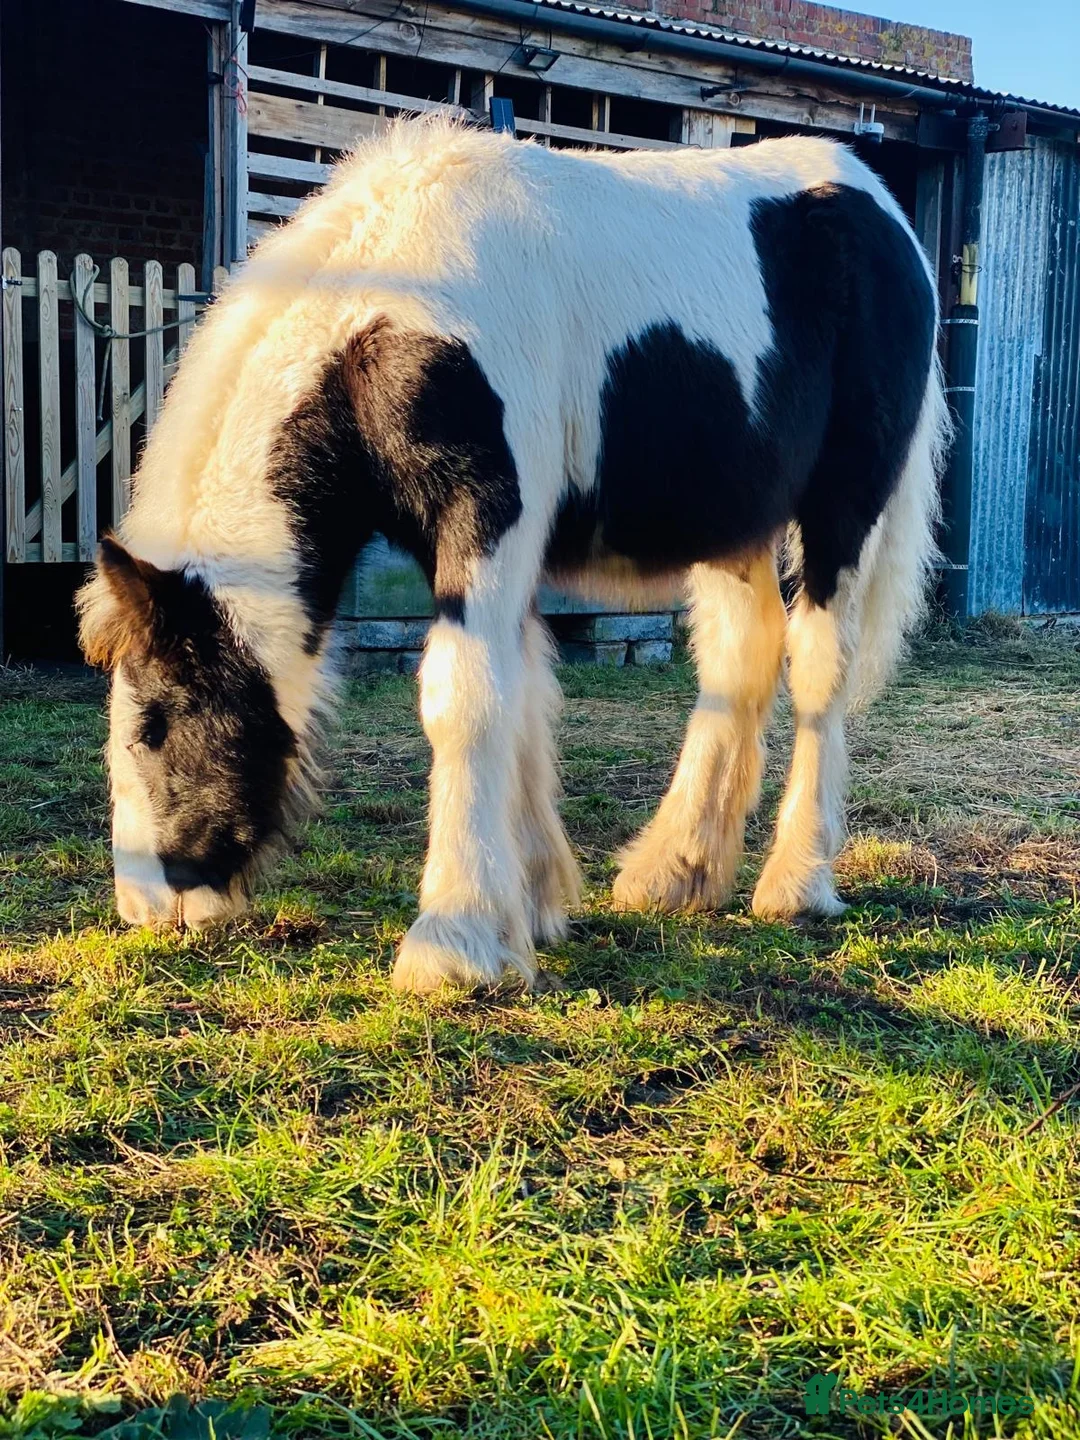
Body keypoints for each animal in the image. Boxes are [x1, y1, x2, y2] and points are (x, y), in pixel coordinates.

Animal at [78, 116, 948, 994]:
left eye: (154, 724)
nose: (147, 906)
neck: (387, 315)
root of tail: (882, 207)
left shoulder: (489, 518)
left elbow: (461, 697)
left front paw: (452, 938)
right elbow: (521, 695)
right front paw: (527, 908)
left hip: (844, 508)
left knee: (819, 666)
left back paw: (797, 884)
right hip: (733, 521)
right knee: (741, 658)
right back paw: (677, 872)